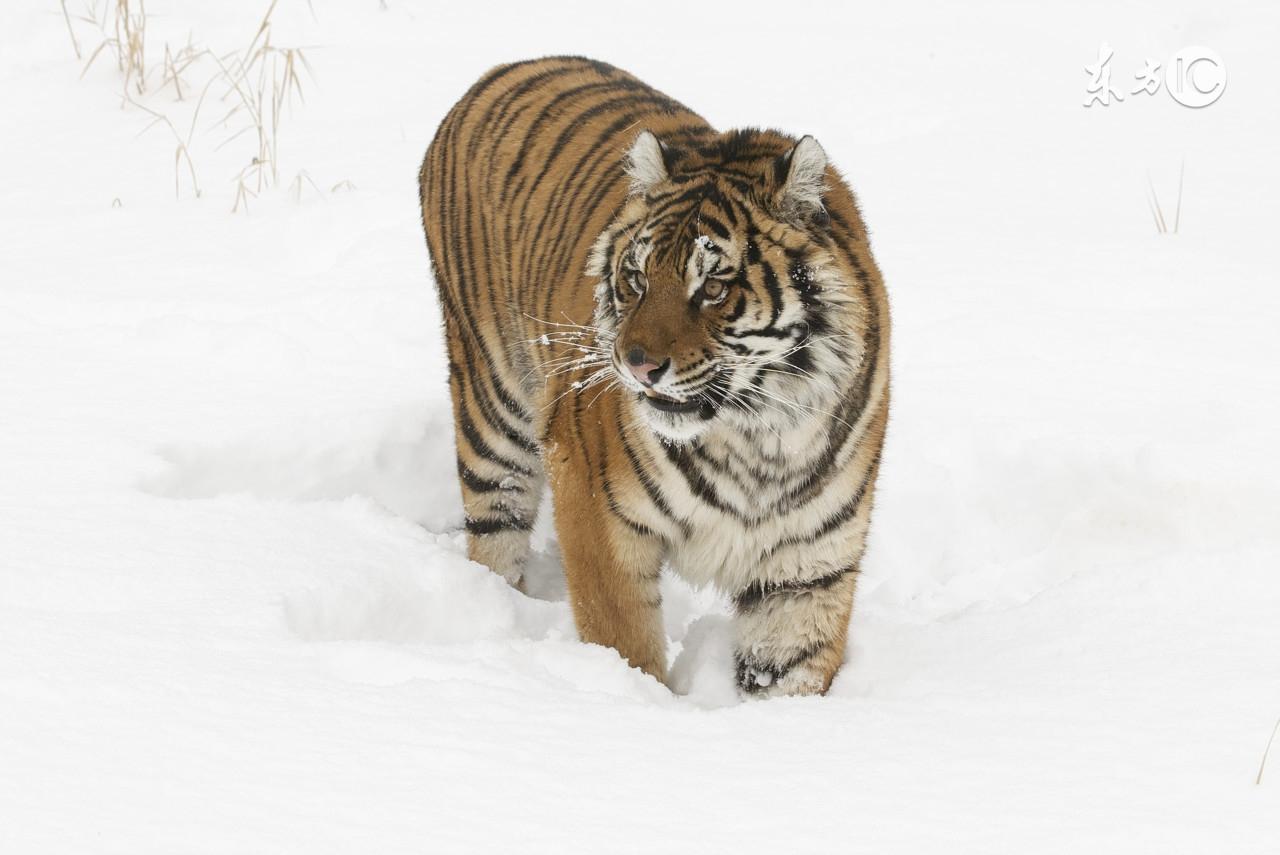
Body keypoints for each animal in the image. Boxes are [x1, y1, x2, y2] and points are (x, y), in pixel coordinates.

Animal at [419, 55, 890, 696]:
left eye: (713, 287)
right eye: (637, 277)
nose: (635, 363)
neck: (757, 435)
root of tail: (500, 70)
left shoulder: (808, 567)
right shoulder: (597, 509)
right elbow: (625, 641)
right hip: (493, 408)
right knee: (495, 533)